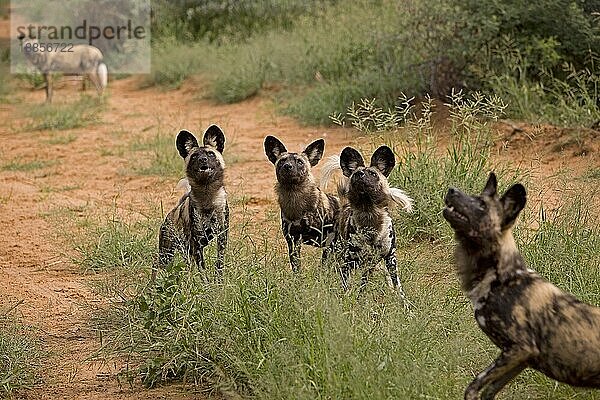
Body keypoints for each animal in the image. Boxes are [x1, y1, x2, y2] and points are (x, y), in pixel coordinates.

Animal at [152, 126, 230, 280]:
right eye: (194, 157)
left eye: (210, 154)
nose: (202, 159)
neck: (207, 198)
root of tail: (171, 214)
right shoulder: (197, 243)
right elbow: (203, 271)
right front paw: (207, 284)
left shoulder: (221, 237)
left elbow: (219, 264)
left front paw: (218, 282)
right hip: (166, 255)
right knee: (158, 267)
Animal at [264, 136, 340, 274]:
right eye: (282, 161)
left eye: (299, 162)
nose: (287, 166)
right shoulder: (293, 241)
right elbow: (296, 267)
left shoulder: (329, 241)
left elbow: (323, 268)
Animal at [324, 145, 412, 296]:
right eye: (355, 174)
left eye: (373, 174)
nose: (360, 175)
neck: (369, 214)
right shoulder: (349, 261)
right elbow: (346, 285)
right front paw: (346, 299)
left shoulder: (390, 258)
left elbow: (397, 286)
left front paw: (403, 301)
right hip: (337, 251)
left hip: (371, 263)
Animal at [442, 173, 600, 400]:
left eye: (482, 205)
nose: (451, 190)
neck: (501, 278)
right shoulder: (521, 357)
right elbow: (488, 391)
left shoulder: (520, 348)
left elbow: (472, 388)